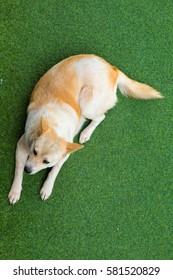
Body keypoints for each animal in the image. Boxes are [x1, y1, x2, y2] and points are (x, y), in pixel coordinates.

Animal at [7, 54, 162, 203]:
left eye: (46, 162)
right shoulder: (21, 146)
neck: (54, 123)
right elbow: (18, 171)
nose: (28, 170)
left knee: (100, 117)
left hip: (86, 105)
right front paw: (15, 191)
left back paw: (86, 133)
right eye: (34, 151)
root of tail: (113, 69)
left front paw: (47, 187)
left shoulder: (65, 154)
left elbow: (54, 170)